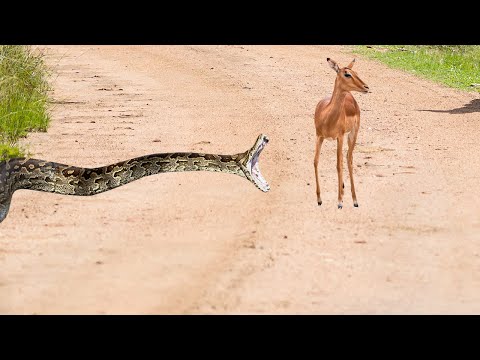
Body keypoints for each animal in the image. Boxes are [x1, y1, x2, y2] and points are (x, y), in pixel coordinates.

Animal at [314, 57, 370, 208]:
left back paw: (354, 200)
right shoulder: (319, 136)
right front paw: (319, 199)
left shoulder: (340, 137)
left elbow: (339, 165)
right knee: (344, 159)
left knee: (348, 159)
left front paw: (339, 201)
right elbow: (316, 161)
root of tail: (350, 95)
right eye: (347, 74)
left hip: (352, 134)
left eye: (355, 72)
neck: (327, 116)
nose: (366, 87)